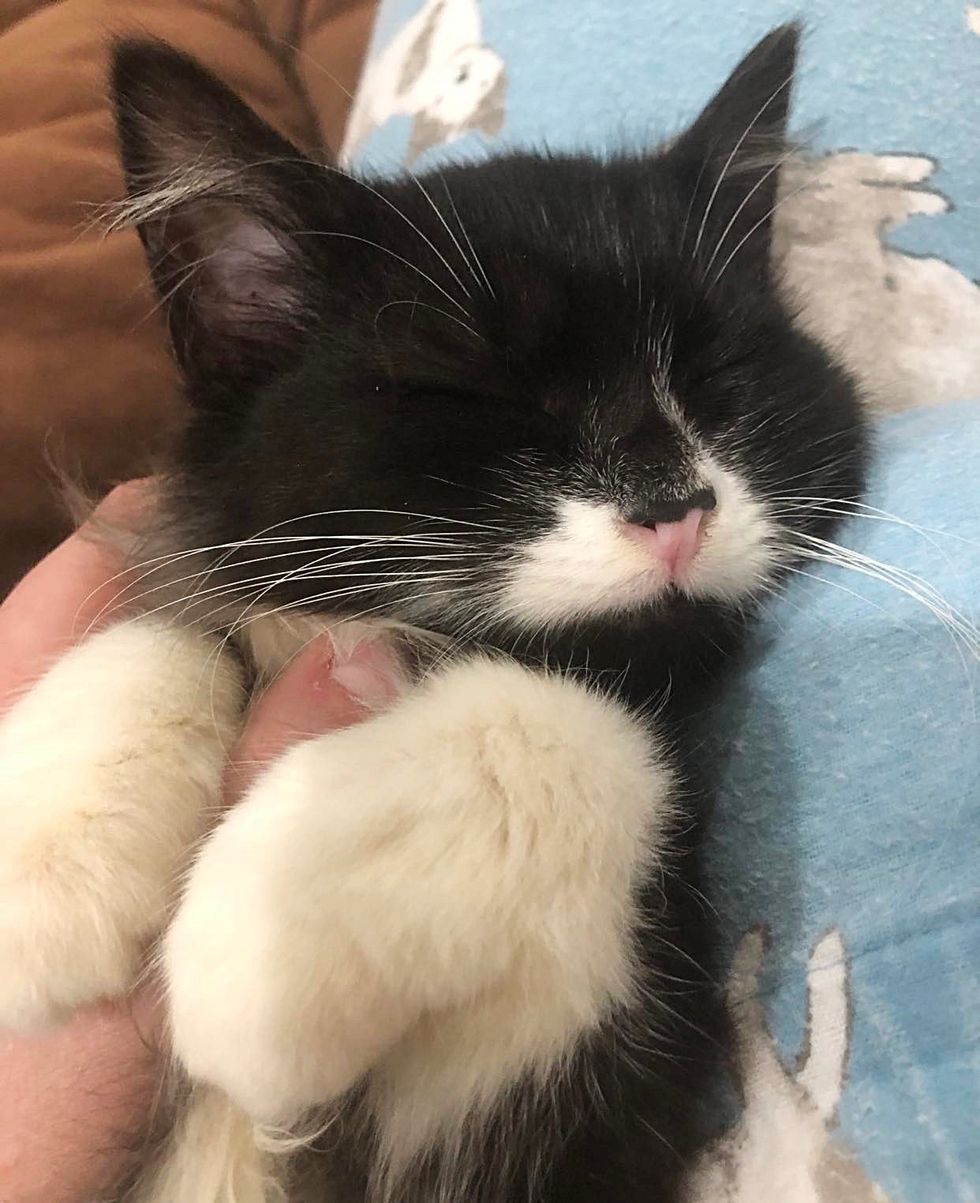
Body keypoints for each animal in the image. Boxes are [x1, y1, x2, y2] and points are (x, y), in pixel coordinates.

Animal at [0, 21, 870, 1203]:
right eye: (468, 393)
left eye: (720, 382)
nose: (670, 503)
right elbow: (174, 624)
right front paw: (46, 861)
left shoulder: (580, 1087)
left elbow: (582, 723)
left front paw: (257, 942)